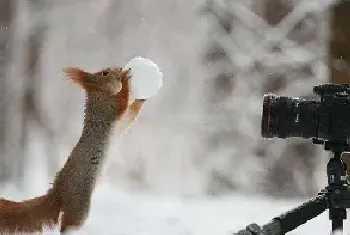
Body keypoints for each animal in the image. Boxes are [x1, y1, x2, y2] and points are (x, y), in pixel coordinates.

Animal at [0, 65, 146, 233]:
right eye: (105, 73)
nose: (120, 68)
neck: (100, 93)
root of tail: (58, 191)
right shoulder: (107, 109)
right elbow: (122, 103)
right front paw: (125, 79)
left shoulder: (122, 121)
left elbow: (131, 113)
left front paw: (141, 99)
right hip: (79, 204)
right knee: (69, 225)